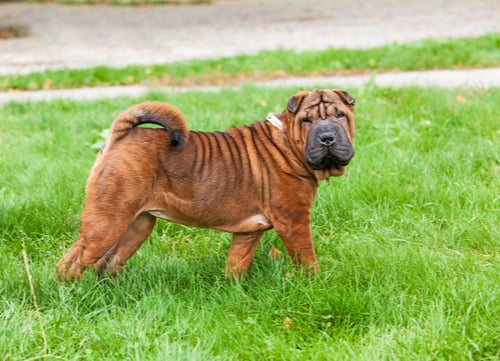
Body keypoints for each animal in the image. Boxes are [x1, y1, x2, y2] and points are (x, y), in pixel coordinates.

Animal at [56, 88, 356, 280]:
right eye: (306, 120)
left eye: (340, 115)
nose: (327, 137)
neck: (288, 144)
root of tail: (121, 136)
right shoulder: (293, 221)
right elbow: (307, 258)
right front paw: (317, 284)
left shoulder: (249, 232)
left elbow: (236, 263)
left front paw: (233, 291)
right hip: (106, 223)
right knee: (71, 263)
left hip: (138, 224)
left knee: (108, 264)